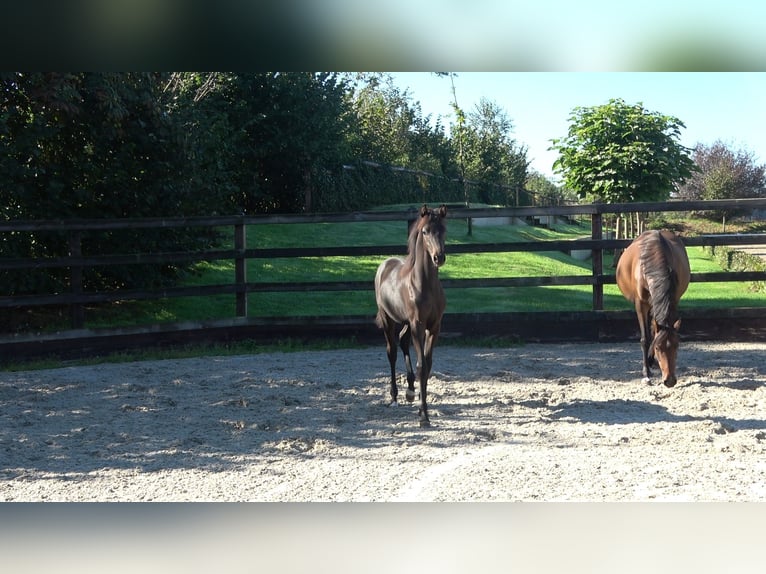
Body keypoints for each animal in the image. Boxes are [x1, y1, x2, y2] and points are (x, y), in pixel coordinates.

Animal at [374, 204, 447, 427]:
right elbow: (421, 365)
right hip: (389, 319)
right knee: (392, 351)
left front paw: (421, 405)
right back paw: (394, 396)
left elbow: (428, 365)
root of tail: (384, 265)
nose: (439, 257)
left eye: (444, 230)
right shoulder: (418, 325)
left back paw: (410, 391)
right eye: (425, 231)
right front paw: (424, 416)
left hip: (406, 322)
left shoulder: (434, 326)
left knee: (403, 341)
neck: (425, 284)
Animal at [616, 229, 690, 387]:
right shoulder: (640, 305)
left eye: (677, 346)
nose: (670, 380)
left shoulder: (674, 300)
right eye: (658, 348)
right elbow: (645, 339)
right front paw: (646, 372)